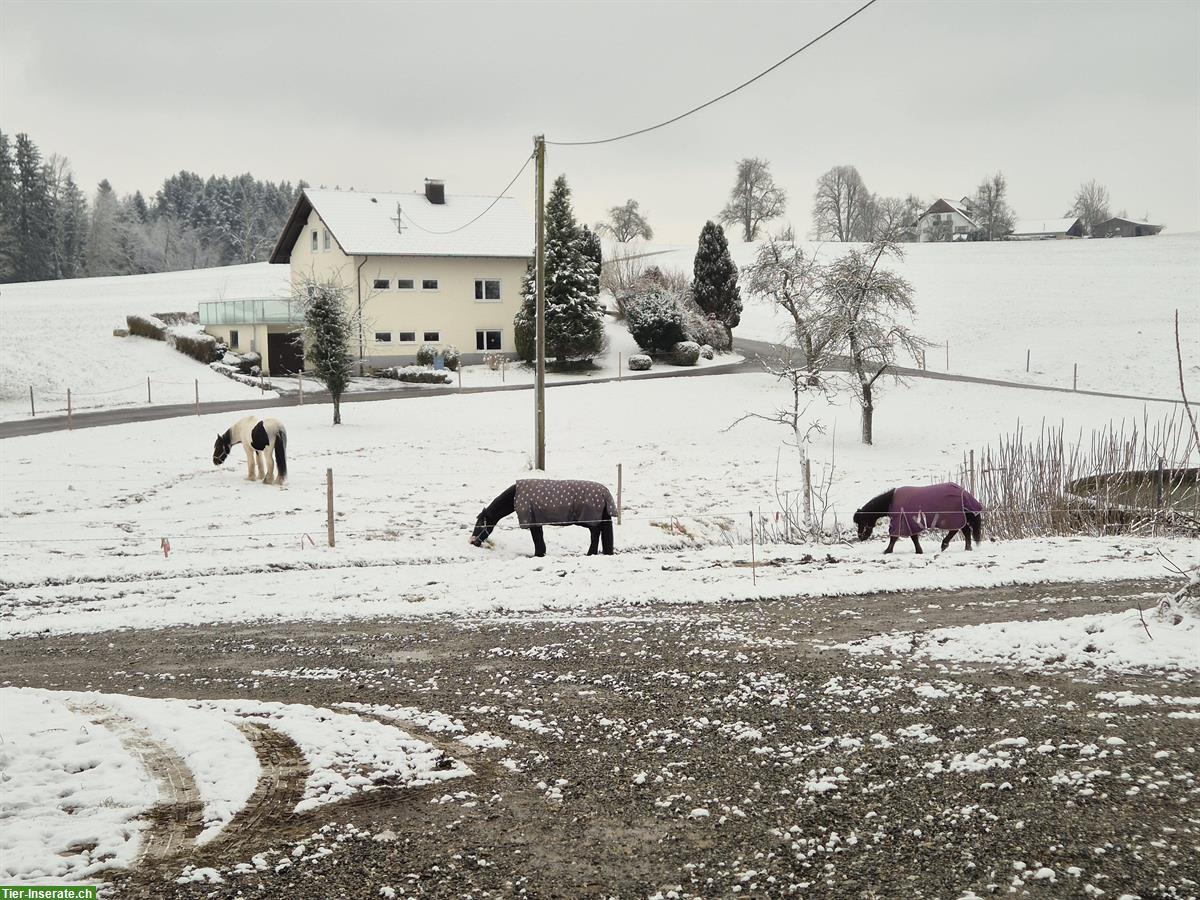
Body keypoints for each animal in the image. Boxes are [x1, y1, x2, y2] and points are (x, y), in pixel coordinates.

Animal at [468, 480, 619, 556]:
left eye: (480, 523)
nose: (472, 541)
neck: (516, 496)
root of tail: (605, 493)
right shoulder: (537, 522)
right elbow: (539, 538)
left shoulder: (532, 522)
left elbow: (537, 539)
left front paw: (538, 554)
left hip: (590, 521)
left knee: (595, 534)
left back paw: (590, 553)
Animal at [849, 482, 979, 554]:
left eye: (861, 521)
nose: (860, 537)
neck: (891, 502)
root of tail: (964, 493)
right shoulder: (909, 522)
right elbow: (913, 538)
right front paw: (919, 551)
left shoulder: (901, 521)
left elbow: (894, 537)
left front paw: (887, 551)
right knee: (966, 531)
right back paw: (967, 548)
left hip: (952, 518)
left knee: (956, 530)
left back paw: (945, 544)